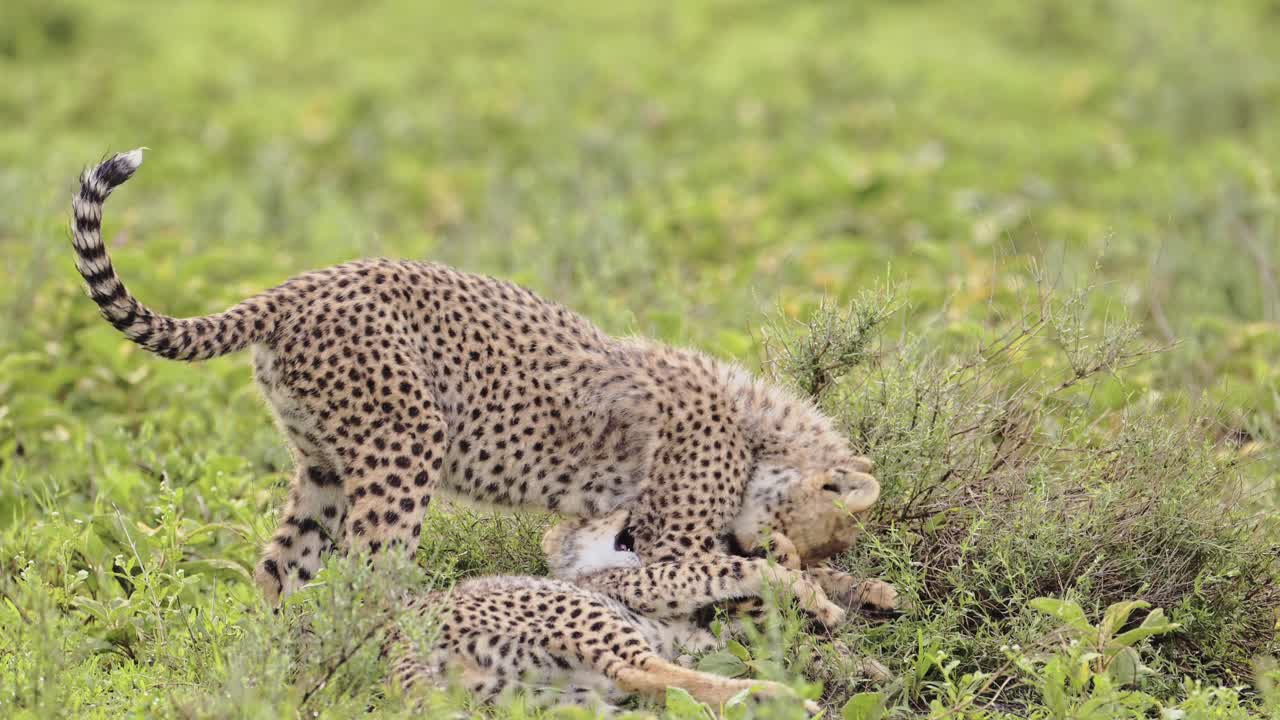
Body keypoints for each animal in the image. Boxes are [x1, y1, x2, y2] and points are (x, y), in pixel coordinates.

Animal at [70, 149, 880, 606]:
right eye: (813, 532)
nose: (770, 547)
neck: (762, 431)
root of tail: (299, 285)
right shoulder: (666, 541)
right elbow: (712, 572)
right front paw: (812, 590)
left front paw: (864, 590)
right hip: (405, 444)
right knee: (370, 573)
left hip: (325, 469)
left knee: (280, 572)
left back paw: (268, 674)